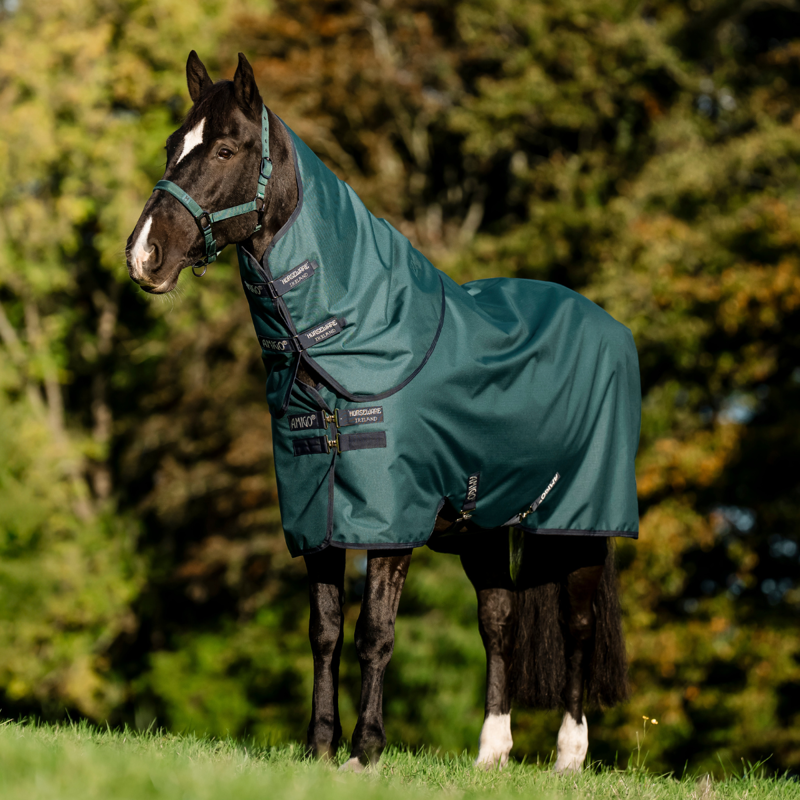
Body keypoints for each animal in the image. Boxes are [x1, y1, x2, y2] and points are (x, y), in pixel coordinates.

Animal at [125, 51, 638, 773]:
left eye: (224, 148)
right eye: (174, 145)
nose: (144, 254)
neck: (356, 340)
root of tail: (609, 326)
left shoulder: (391, 524)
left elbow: (375, 631)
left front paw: (365, 751)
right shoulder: (317, 515)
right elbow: (325, 631)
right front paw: (318, 747)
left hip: (580, 525)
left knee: (578, 625)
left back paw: (569, 755)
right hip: (486, 527)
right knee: (500, 623)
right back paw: (491, 753)